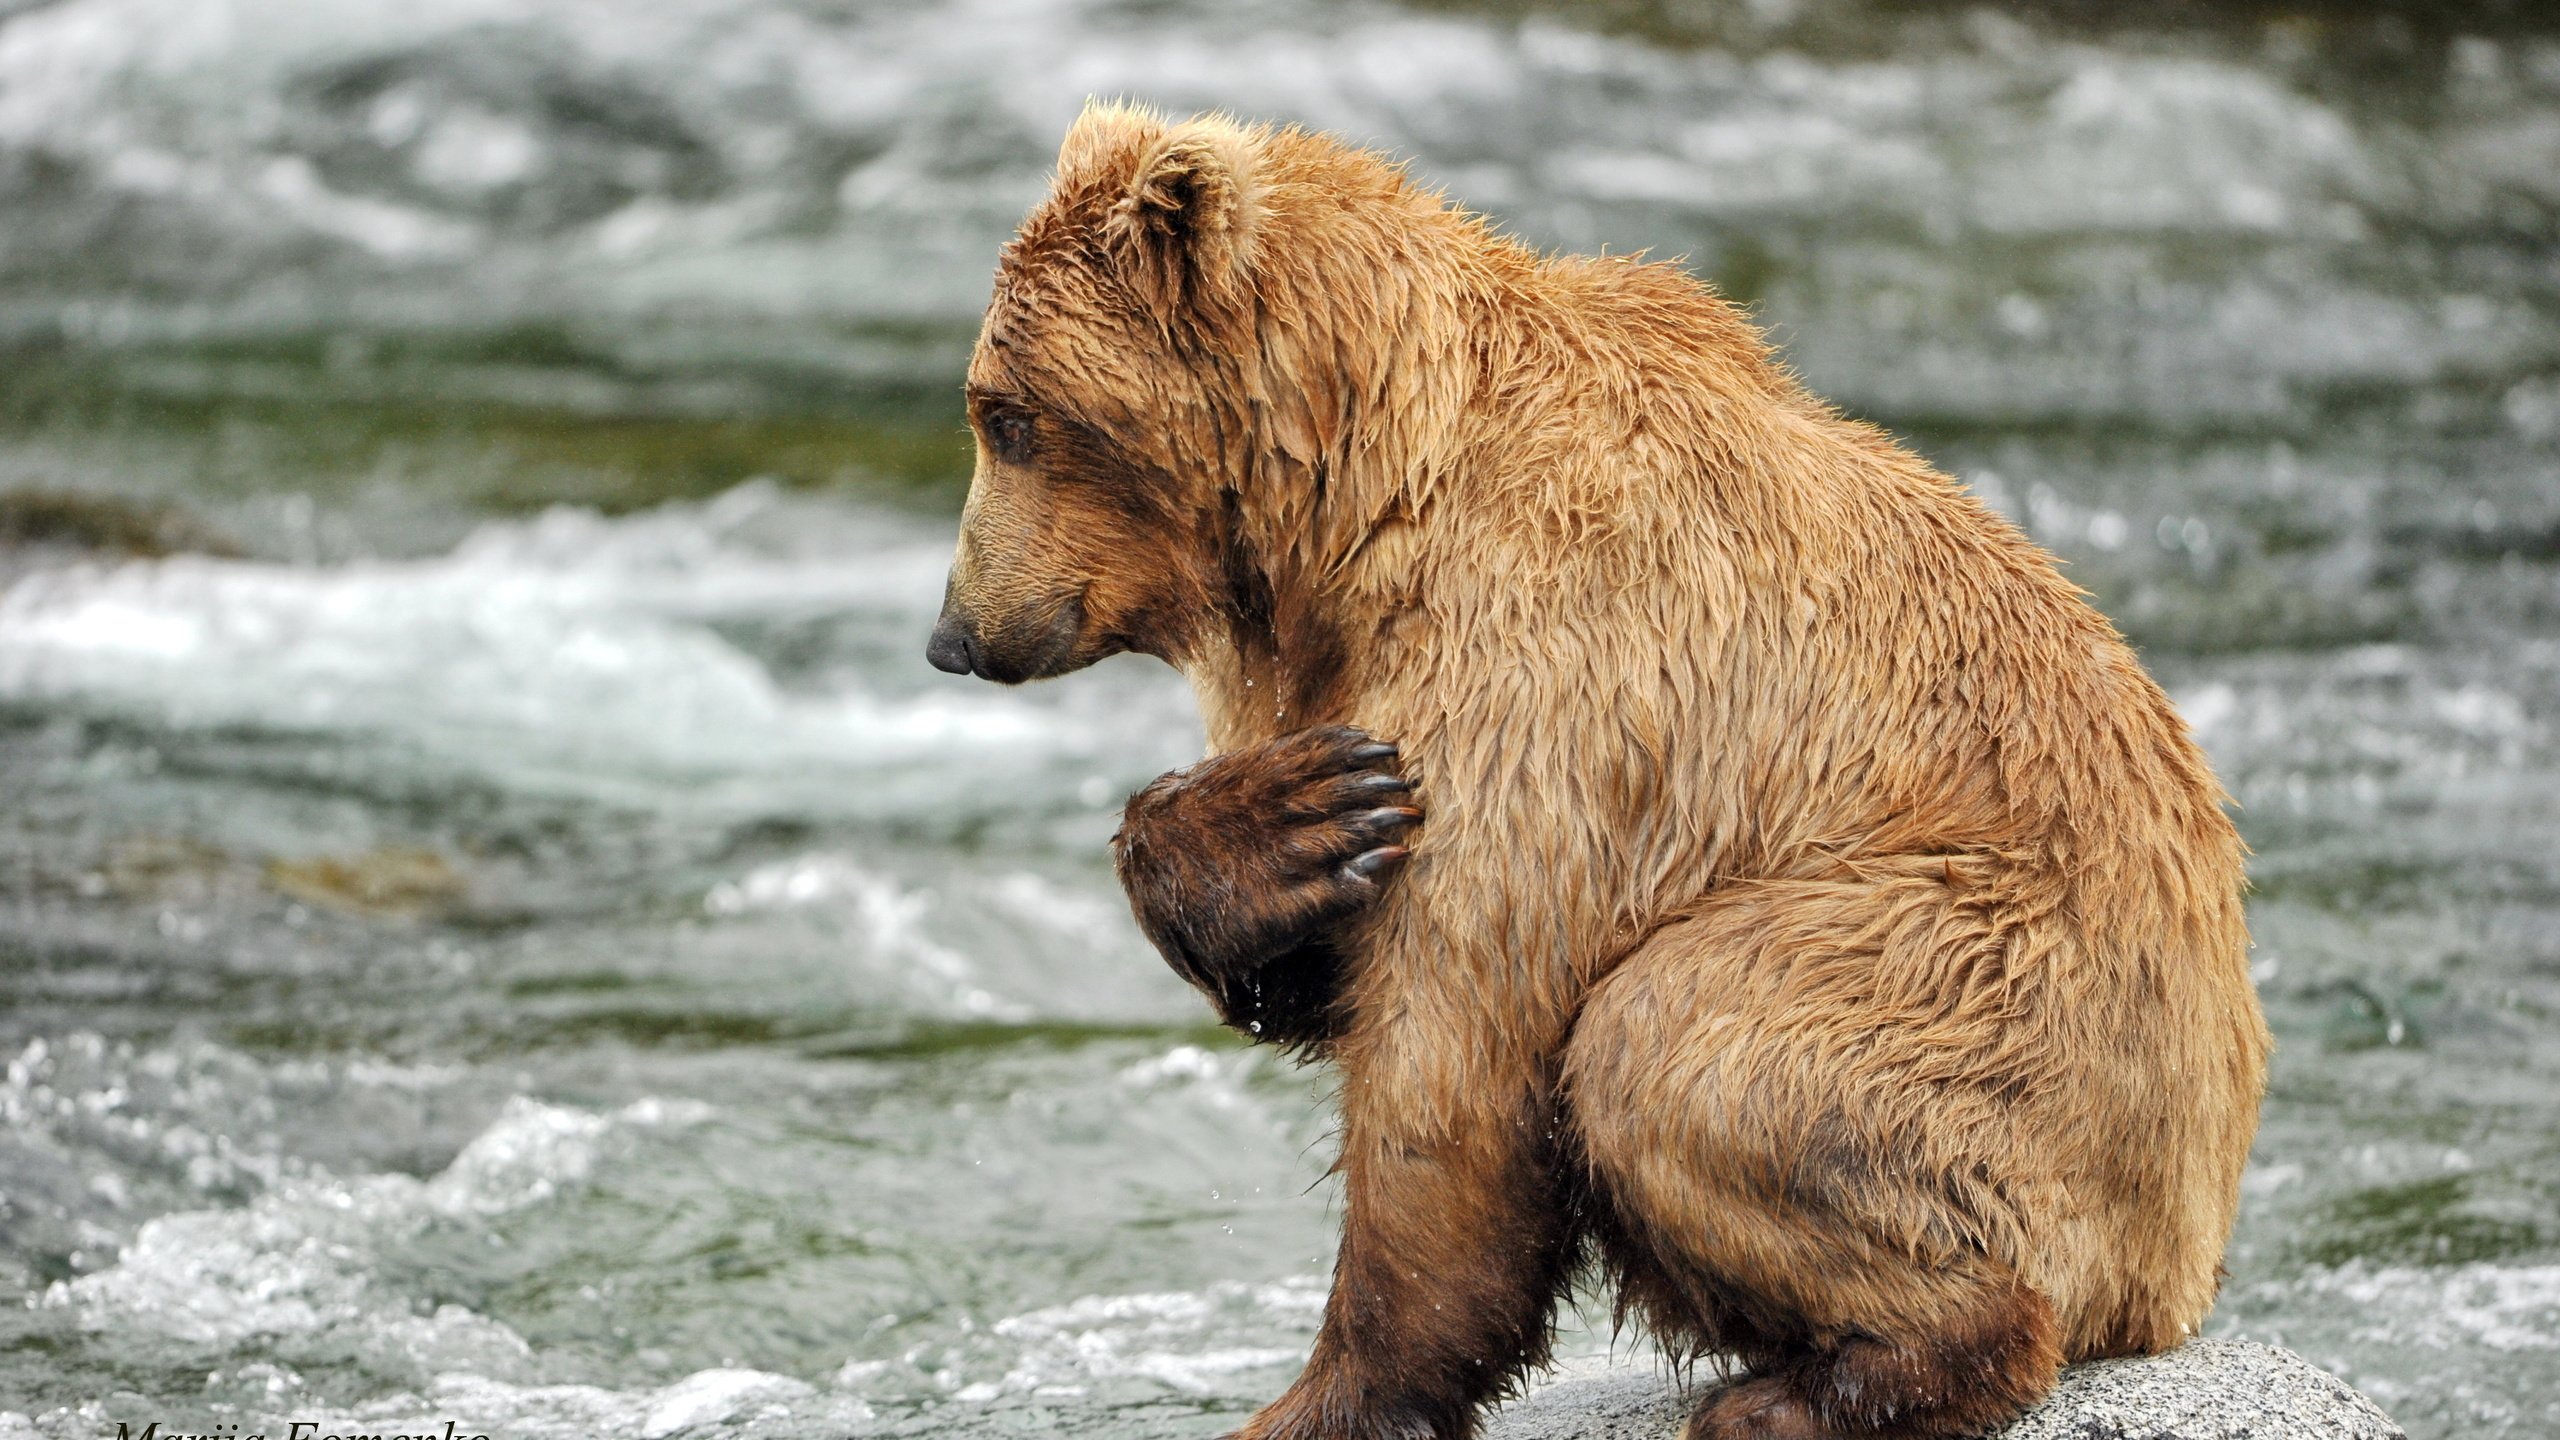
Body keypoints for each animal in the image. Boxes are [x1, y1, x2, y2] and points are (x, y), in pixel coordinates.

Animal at [921, 103, 2263, 1434]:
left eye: (1008, 416)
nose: (955, 635)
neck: (1357, 513)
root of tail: (2179, 1264)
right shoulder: (1345, 678)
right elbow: (1327, 953)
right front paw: (1289, 823)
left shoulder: (1549, 684)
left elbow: (1454, 1055)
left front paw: (1329, 1395)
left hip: (1990, 984)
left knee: (1677, 1043)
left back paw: (1814, 1387)